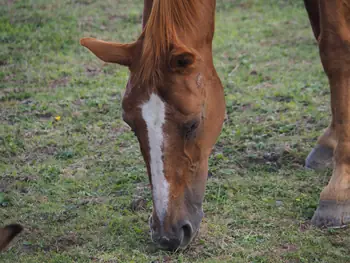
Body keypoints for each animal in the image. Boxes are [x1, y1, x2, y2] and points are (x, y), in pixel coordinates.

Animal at [82, 0, 350, 252]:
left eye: (192, 124)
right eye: (130, 124)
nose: (167, 235)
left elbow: (335, 51)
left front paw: (338, 190)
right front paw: (330, 141)